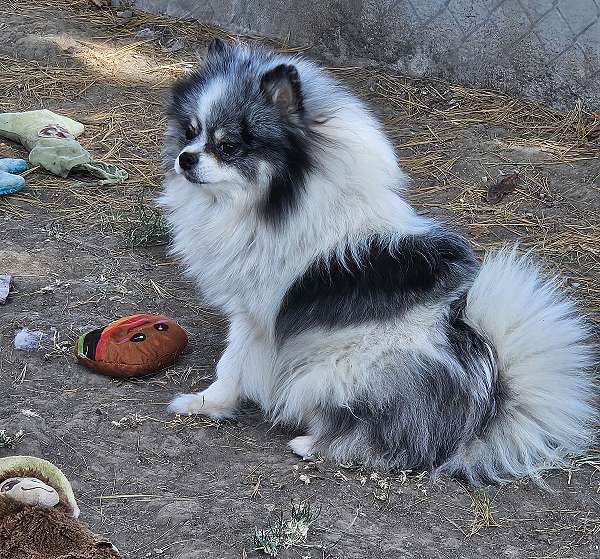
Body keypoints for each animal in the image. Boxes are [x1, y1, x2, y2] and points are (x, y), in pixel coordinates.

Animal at [158, 40, 596, 486]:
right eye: (191, 131)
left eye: (228, 146)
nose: (185, 159)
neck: (271, 201)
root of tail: (483, 396)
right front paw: (205, 404)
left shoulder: (256, 315)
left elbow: (232, 364)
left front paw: (208, 402)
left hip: (332, 374)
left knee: (397, 442)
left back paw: (314, 444)